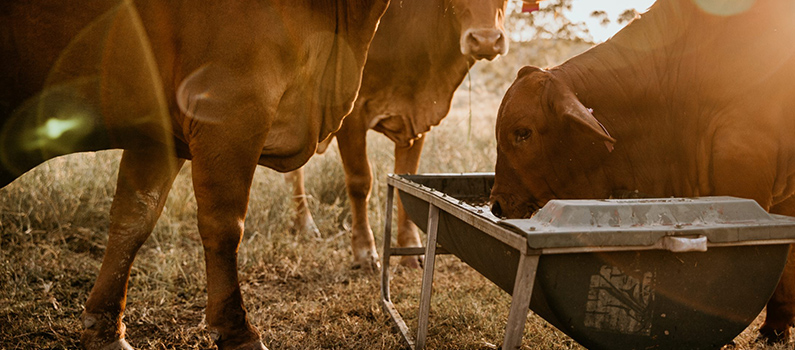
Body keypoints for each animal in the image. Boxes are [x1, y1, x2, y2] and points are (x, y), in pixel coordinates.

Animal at [0, 1, 388, 348]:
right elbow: (224, 226)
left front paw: (105, 331)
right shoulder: (231, 108)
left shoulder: (157, 133)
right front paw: (237, 331)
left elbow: (134, 217)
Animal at [286, 0, 510, 270]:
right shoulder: (351, 114)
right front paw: (364, 252)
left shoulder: (417, 118)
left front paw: (410, 250)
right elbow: (360, 181)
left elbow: (408, 177)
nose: (486, 40)